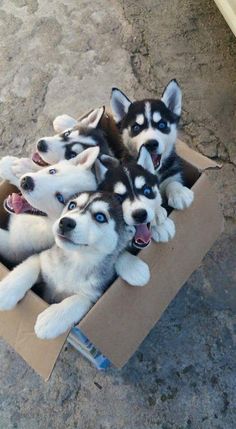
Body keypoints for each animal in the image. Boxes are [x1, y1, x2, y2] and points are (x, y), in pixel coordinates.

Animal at [0, 191, 139, 338]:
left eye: (100, 217)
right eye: (72, 205)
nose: (65, 222)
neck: (75, 260)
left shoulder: (94, 295)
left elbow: (79, 301)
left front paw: (51, 320)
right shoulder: (43, 257)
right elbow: (29, 266)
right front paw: (7, 291)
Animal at [110, 80, 194, 211]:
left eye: (162, 125)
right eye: (136, 127)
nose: (151, 144)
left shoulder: (174, 172)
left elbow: (173, 181)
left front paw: (179, 192)